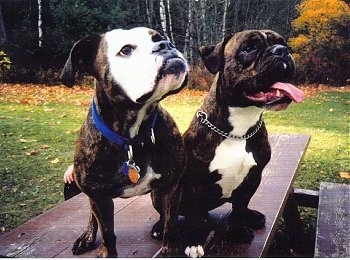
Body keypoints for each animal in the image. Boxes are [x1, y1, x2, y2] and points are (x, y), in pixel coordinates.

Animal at [59, 27, 189, 256]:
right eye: (126, 50)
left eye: (158, 37)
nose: (166, 45)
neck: (133, 137)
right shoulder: (99, 197)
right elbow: (107, 233)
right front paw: (105, 250)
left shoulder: (171, 186)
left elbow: (171, 223)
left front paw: (171, 248)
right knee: (92, 216)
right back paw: (87, 236)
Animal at [180, 29, 304, 256]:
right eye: (249, 48)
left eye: (283, 43)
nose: (282, 51)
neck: (239, 127)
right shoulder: (192, 184)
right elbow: (193, 218)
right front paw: (193, 242)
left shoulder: (252, 177)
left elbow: (238, 208)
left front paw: (237, 230)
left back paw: (251, 216)